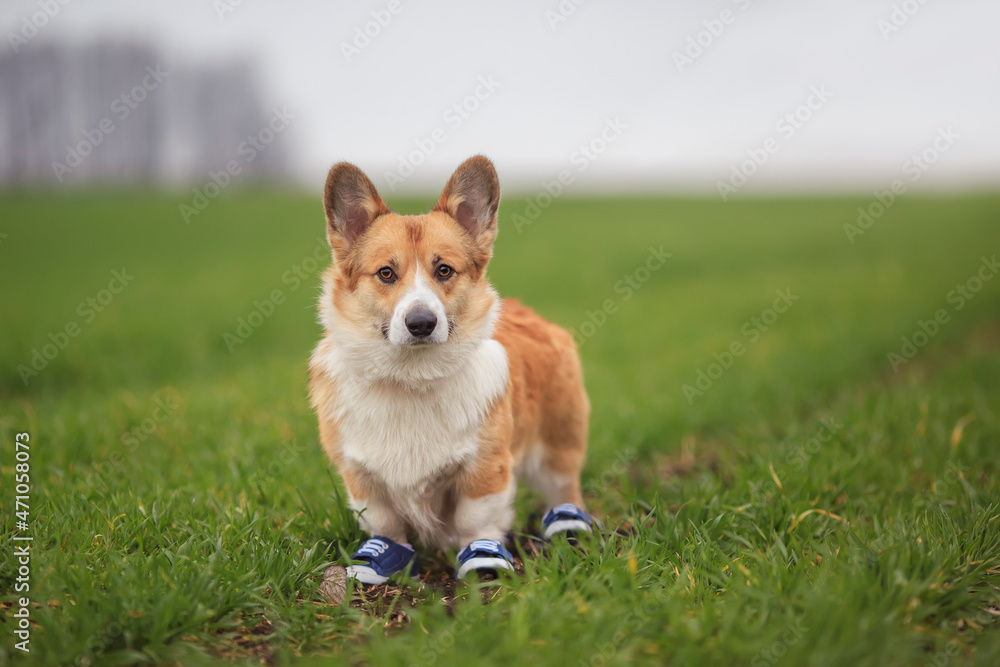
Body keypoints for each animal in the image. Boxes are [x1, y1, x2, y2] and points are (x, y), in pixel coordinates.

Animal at [310, 158, 592, 584]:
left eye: (444, 270)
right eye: (386, 273)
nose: (421, 323)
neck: (411, 377)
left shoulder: (485, 468)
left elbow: (475, 519)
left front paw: (482, 558)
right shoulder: (361, 477)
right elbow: (385, 524)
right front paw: (383, 559)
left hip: (558, 445)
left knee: (564, 489)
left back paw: (568, 525)